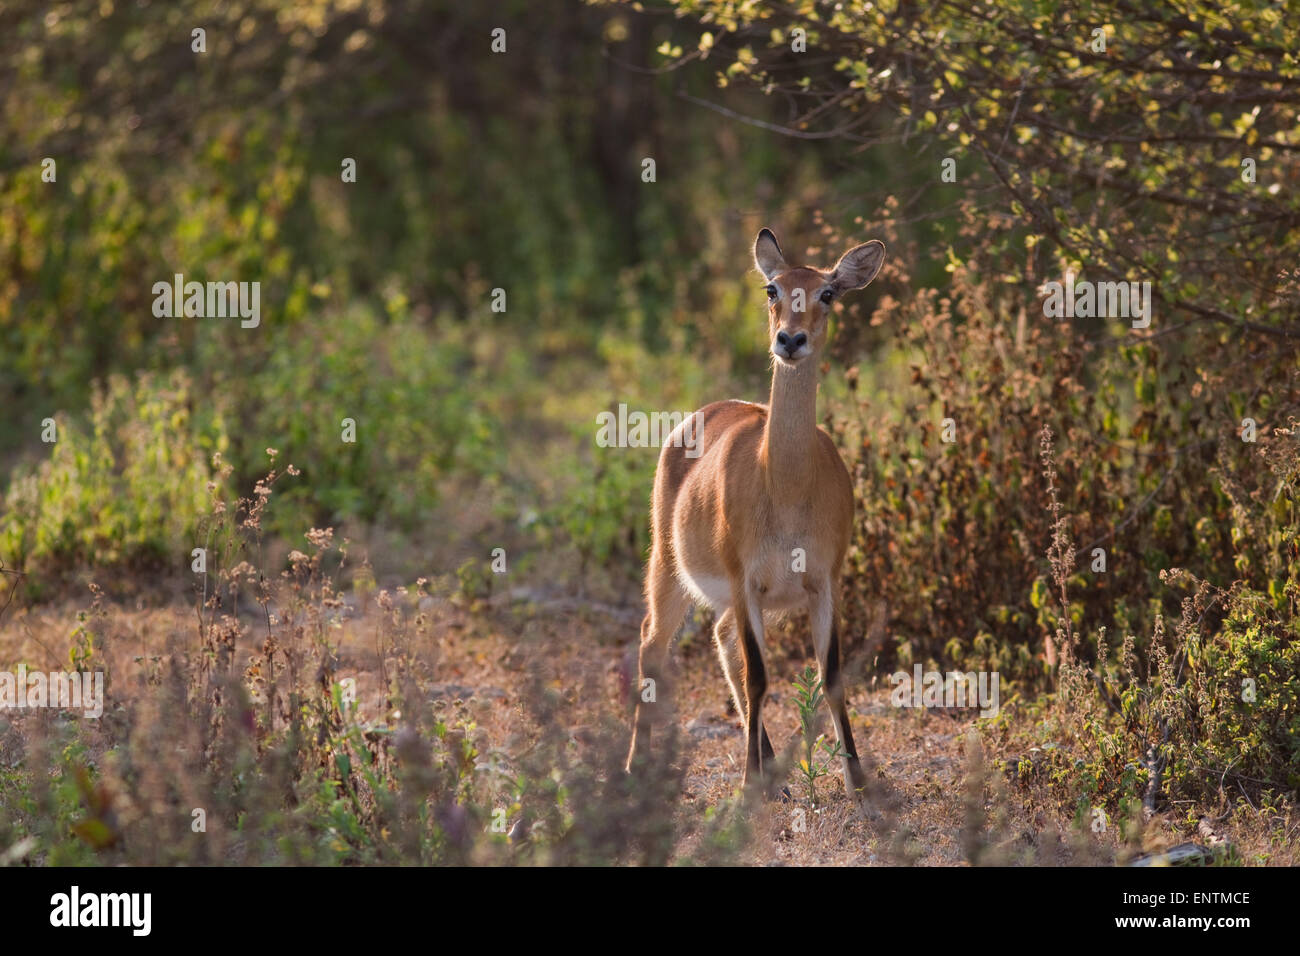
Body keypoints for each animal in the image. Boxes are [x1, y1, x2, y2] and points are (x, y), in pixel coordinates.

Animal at [626, 226, 889, 801]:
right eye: (773, 289)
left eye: (828, 292)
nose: (790, 340)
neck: (786, 486)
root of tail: (705, 411)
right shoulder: (744, 579)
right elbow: (760, 676)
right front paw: (747, 784)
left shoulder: (824, 581)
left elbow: (831, 675)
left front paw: (859, 783)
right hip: (668, 567)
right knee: (653, 643)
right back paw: (637, 768)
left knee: (722, 641)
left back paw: (772, 771)